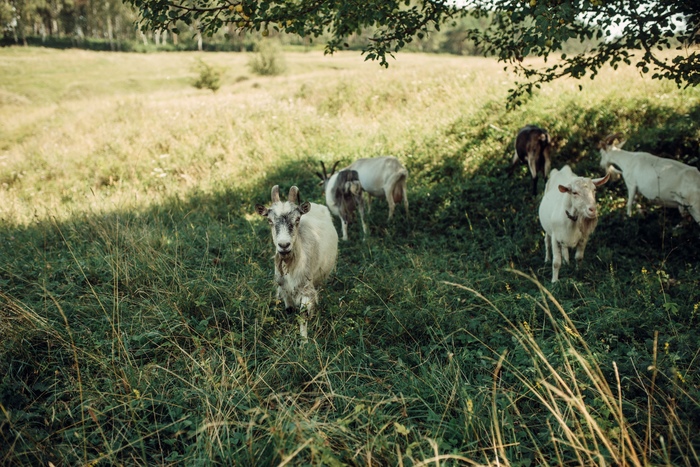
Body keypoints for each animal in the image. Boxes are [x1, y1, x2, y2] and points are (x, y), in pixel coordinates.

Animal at [254, 184, 340, 340]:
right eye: (269, 221)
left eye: (298, 219)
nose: (284, 245)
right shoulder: (284, 288)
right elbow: (289, 309)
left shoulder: (305, 288)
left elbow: (303, 314)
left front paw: (304, 341)